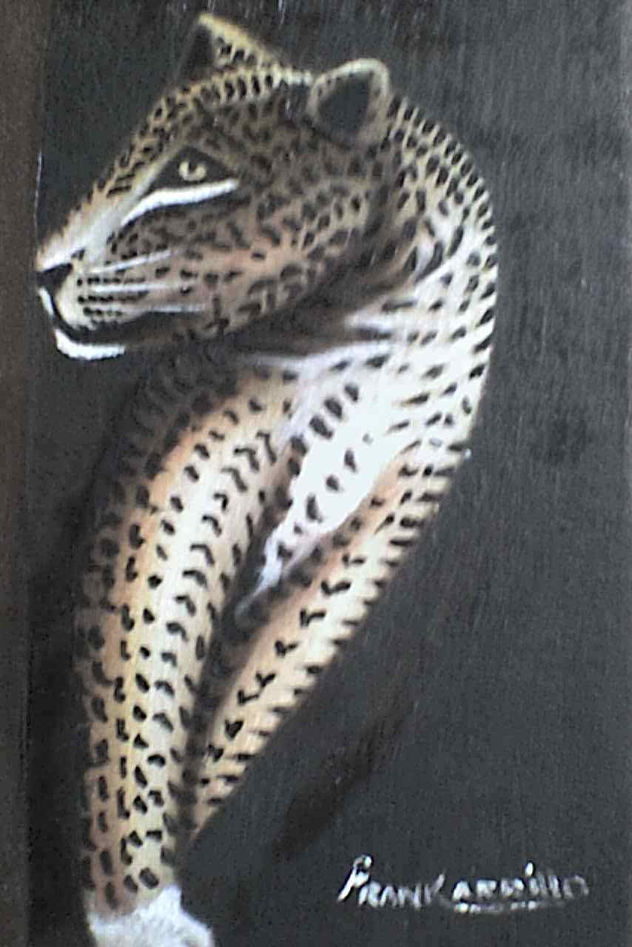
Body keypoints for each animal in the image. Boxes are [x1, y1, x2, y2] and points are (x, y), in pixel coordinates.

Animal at [35, 14, 497, 947]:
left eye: (190, 176)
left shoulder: (377, 521)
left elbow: (249, 697)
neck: (363, 313)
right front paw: (136, 910)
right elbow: (137, 693)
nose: (42, 269)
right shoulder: (180, 472)